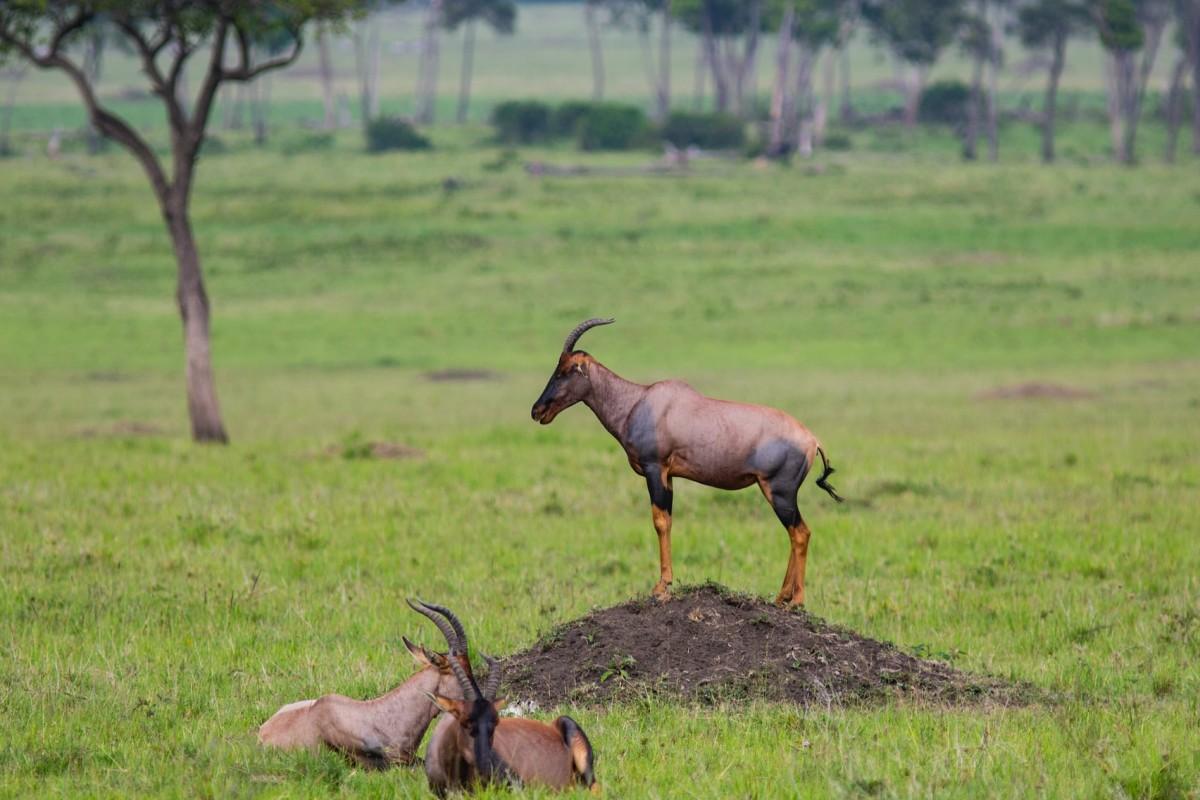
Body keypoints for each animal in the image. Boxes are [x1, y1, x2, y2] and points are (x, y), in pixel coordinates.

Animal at [530, 316, 849, 606]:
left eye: (565, 370)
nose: (537, 411)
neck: (639, 401)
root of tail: (812, 440)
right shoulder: (669, 476)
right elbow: (668, 521)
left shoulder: (654, 469)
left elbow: (659, 521)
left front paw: (661, 587)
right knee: (797, 533)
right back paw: (782, 596)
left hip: (779, 491)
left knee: (800, 533)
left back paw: (796, 601)